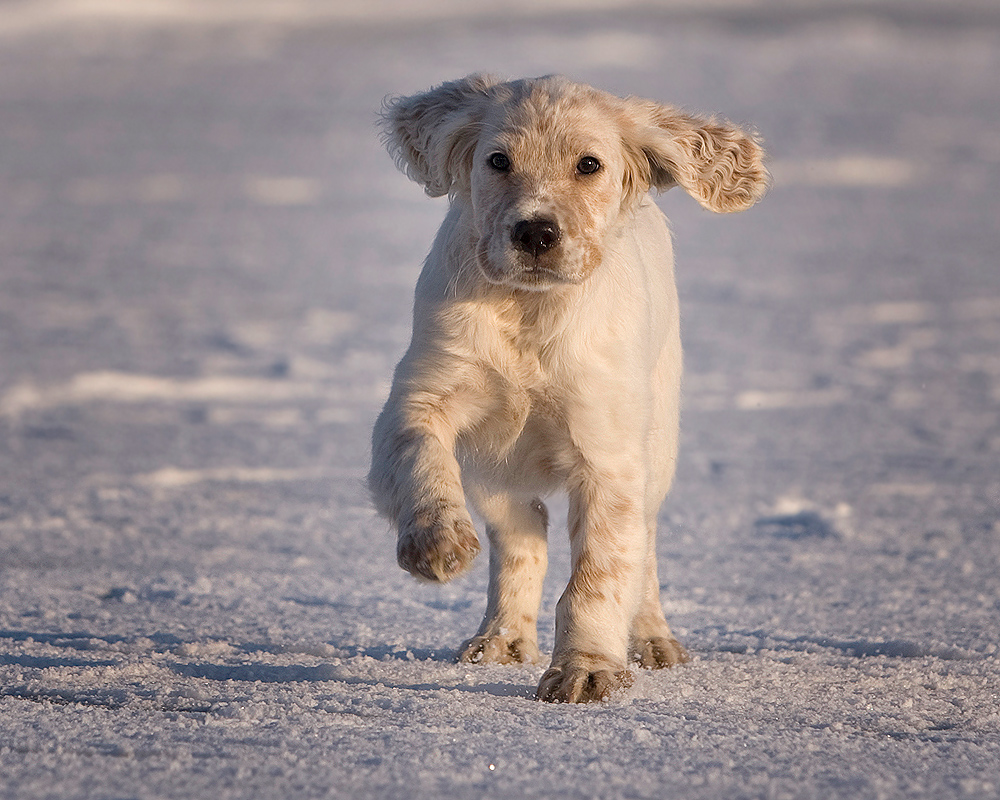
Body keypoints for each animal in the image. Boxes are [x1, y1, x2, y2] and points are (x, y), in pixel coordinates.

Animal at [368, 75, 764, 700]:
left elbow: (599, 575)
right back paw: (501, 638)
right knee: (521, 536)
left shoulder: (609, 454)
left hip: (657, 441)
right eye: (498, 161)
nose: (535, 231)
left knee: (644, 545)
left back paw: (653, 639)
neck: (530, 312)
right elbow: (420, 455)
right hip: (495, 472)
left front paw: (586, 668)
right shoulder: (424, 393)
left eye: (589, 164)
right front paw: (437, 540)